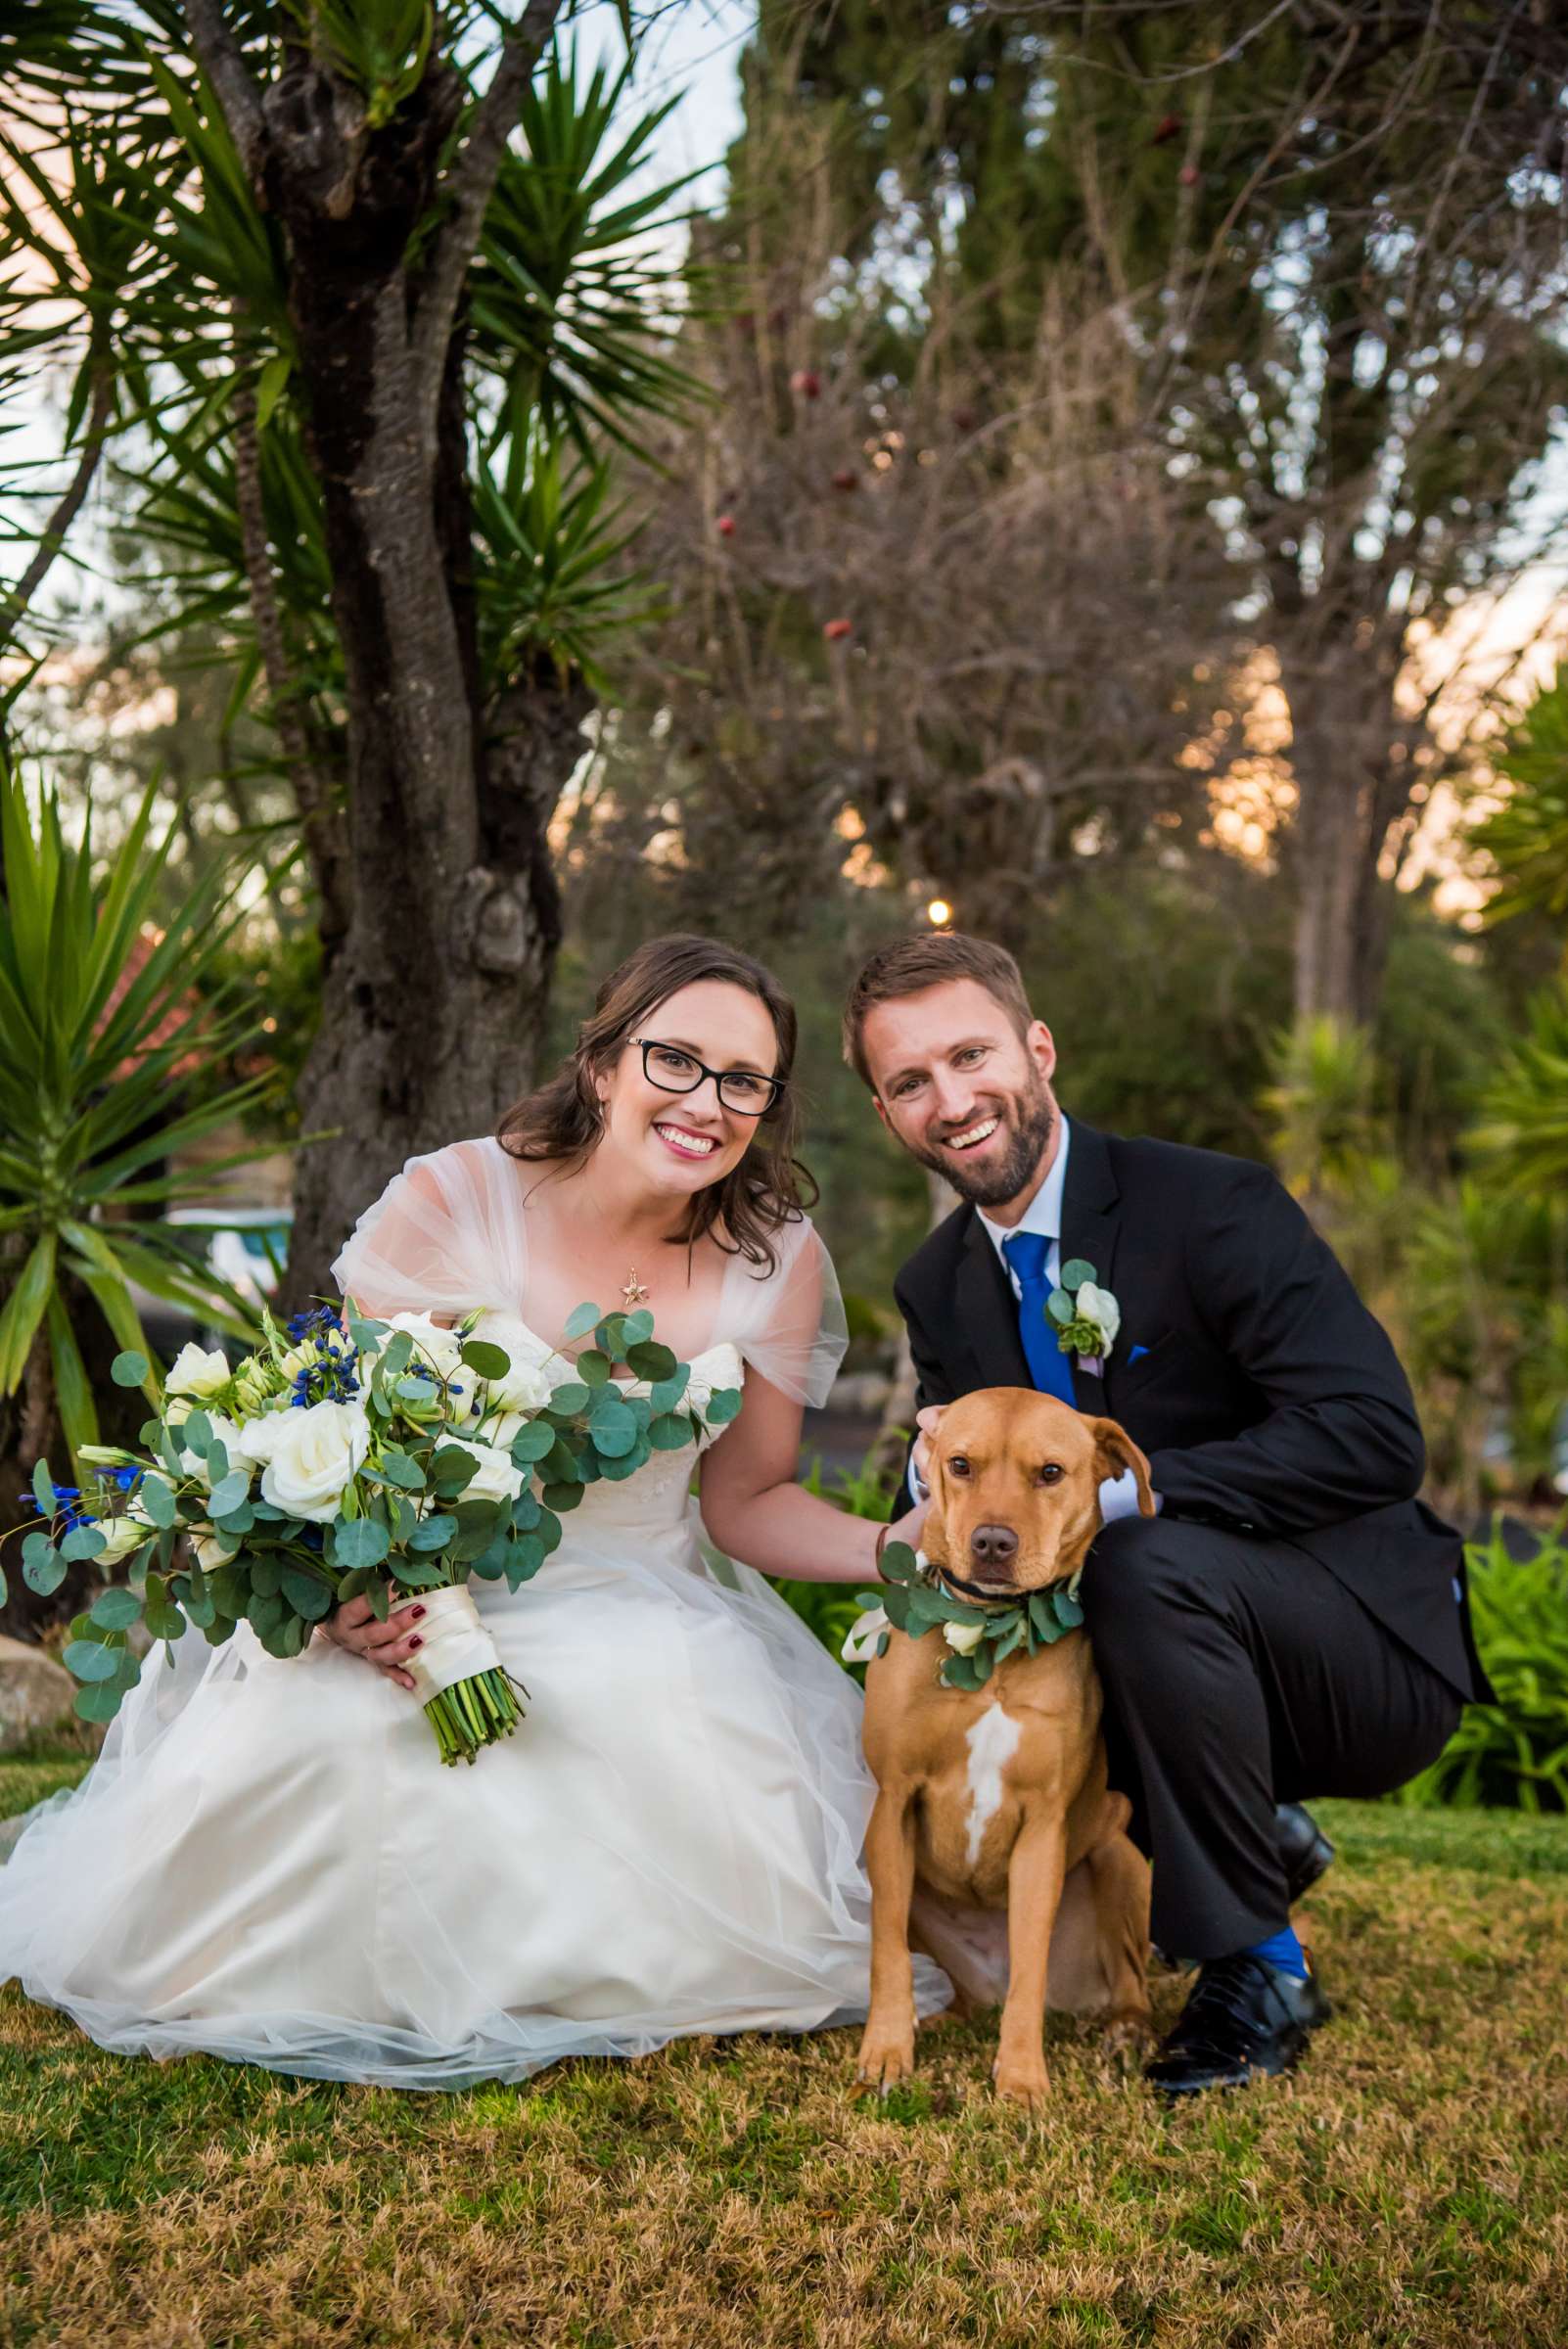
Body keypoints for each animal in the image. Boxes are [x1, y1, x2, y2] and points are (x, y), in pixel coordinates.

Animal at [858, 1381, 1150, 2104]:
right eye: (960, 1464)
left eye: (1050, 1472)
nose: (992, 1540)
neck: (989, 1641)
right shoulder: (893, 1804)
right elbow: (885, 1953)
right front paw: (886, 2050)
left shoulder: (1043, 1828)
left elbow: (1030, 1965)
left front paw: (1020, 2075)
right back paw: (936, 2020)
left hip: (1120, 1853)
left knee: (1125, 1981)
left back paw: (1129, 2029)